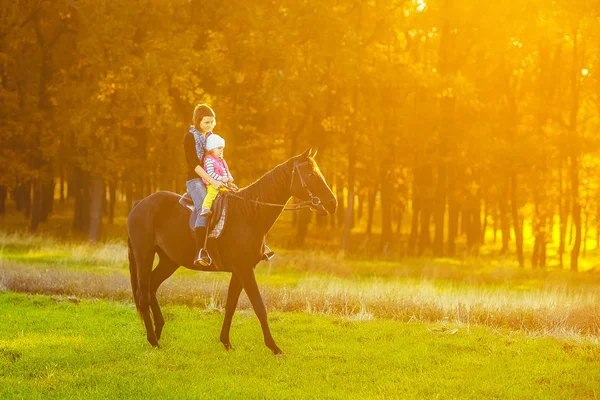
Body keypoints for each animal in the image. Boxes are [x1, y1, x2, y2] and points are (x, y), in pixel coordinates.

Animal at [127, 148, 338, 354]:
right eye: (310, 174)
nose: (332, 203)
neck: (249, 213)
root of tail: (139, 204)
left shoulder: (239, 271)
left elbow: (230, 306)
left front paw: (226, 342)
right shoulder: (244, 270)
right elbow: (259, 306)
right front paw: (274, 347)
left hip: (169, 260)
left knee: (152, 287)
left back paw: (158, 330)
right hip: (144, 255)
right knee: (143, 295)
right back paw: (153, 340)